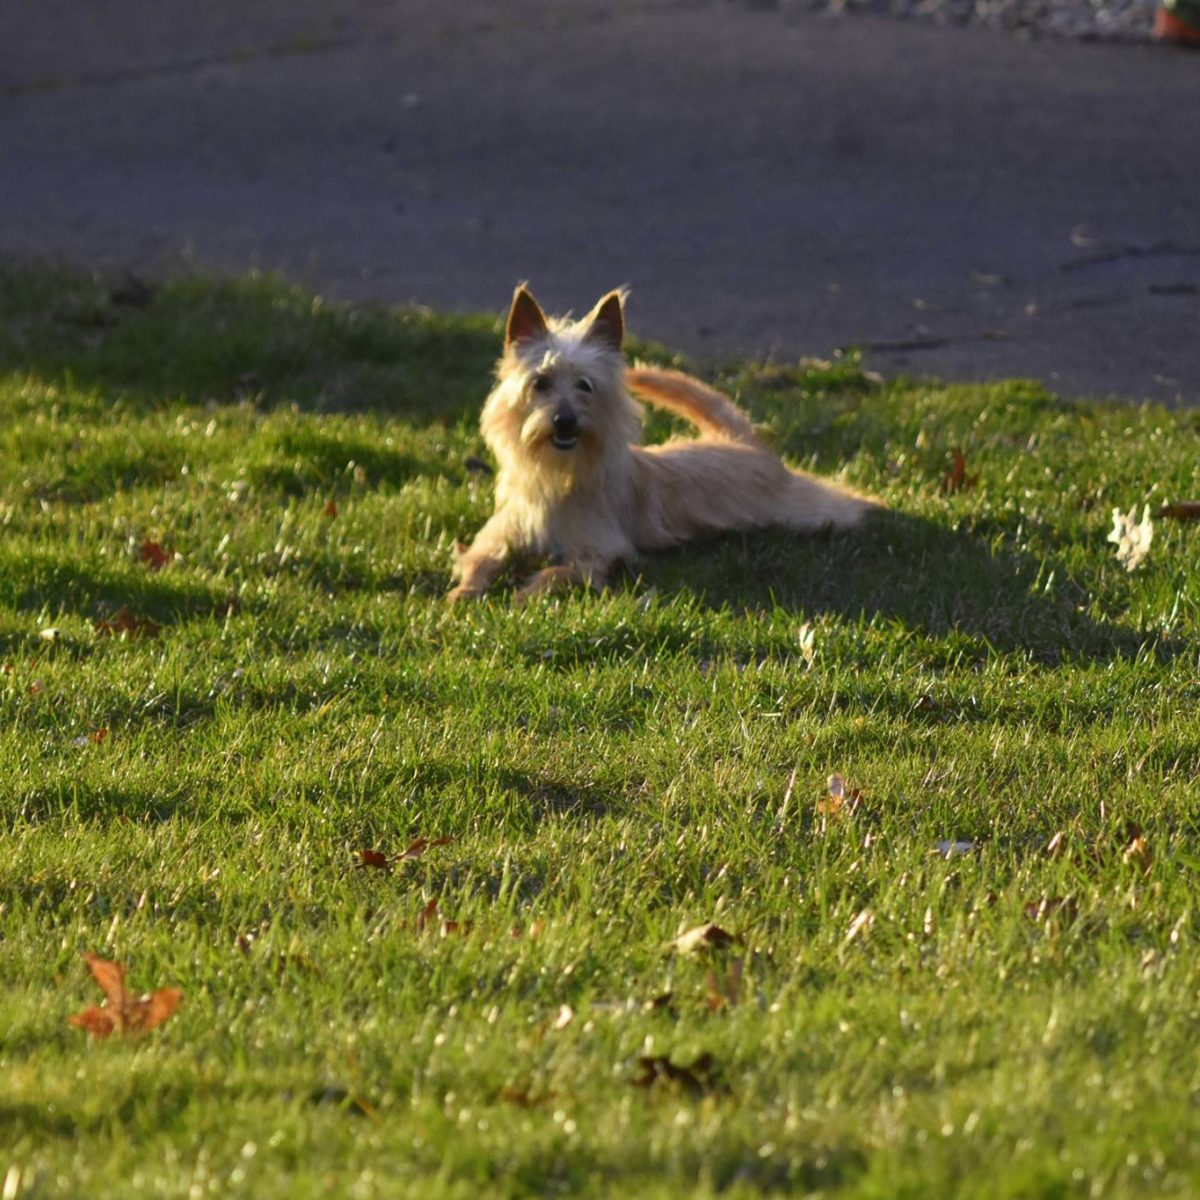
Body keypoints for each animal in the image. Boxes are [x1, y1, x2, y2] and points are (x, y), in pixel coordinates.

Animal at [446, 286, 878, 604]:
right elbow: (482, 557)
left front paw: (525, 593)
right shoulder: (502, 531)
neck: (557, 475)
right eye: (541, 382)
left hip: (803, 511)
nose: (565, 421)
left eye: (586, 385)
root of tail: (741, 440)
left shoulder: (602, 551)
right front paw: (464, 591)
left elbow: (560, 573)